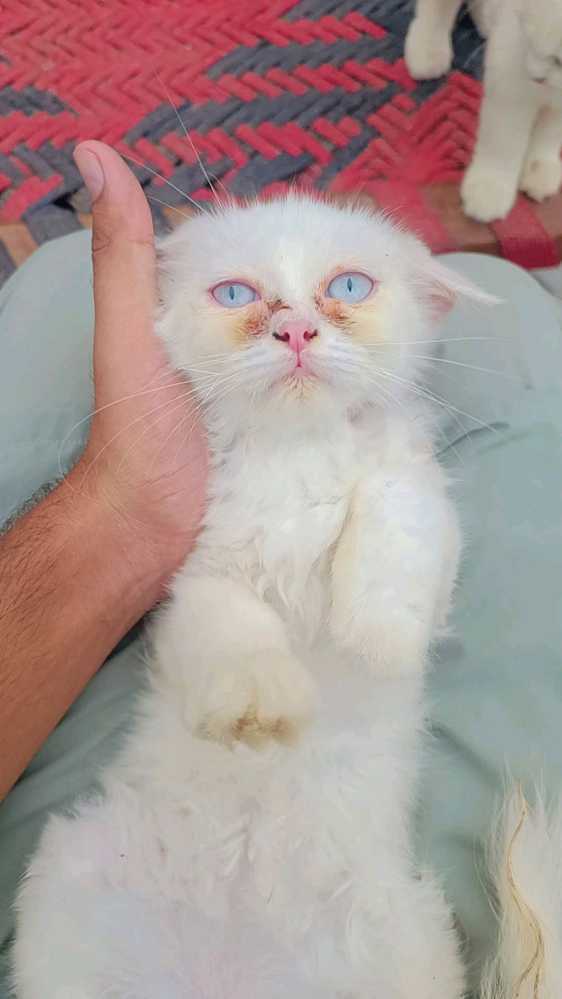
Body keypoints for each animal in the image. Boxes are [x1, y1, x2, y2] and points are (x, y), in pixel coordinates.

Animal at [405, 0, 562, 222]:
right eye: (525, 33)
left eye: (559, 62)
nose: (536, 78)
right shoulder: (510, 69)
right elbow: (502, 142)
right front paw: (489, 187)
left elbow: (550, 132)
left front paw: (539, 167)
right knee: (437, 6)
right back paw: (428, 48)